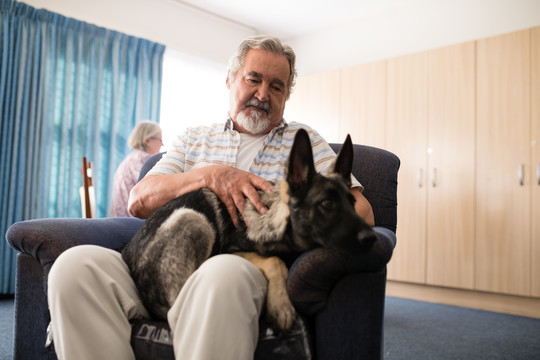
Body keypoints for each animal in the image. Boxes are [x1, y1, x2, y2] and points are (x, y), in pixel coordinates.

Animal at [122, 129, 376, 332]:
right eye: (327, 204)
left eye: (352, 203)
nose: (372, 238)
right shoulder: (231, 250)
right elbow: (274, 260)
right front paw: (281, 305)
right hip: (193, 220)